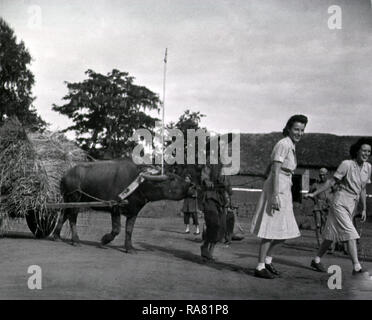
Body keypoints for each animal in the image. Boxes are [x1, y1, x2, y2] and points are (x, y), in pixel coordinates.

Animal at [51, 159, 192, 252]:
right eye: (172, 179)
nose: (191, 186)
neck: (139, 185)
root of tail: (65, 175)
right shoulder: (115, 208)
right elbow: (117, 229)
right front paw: (104, 241)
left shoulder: (134, 211)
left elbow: (129, 230)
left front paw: (129, 248)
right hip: (75, 198)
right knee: (72, 218)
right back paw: (76, 240)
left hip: (68, 199)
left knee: (63, 215)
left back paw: (56, 236)